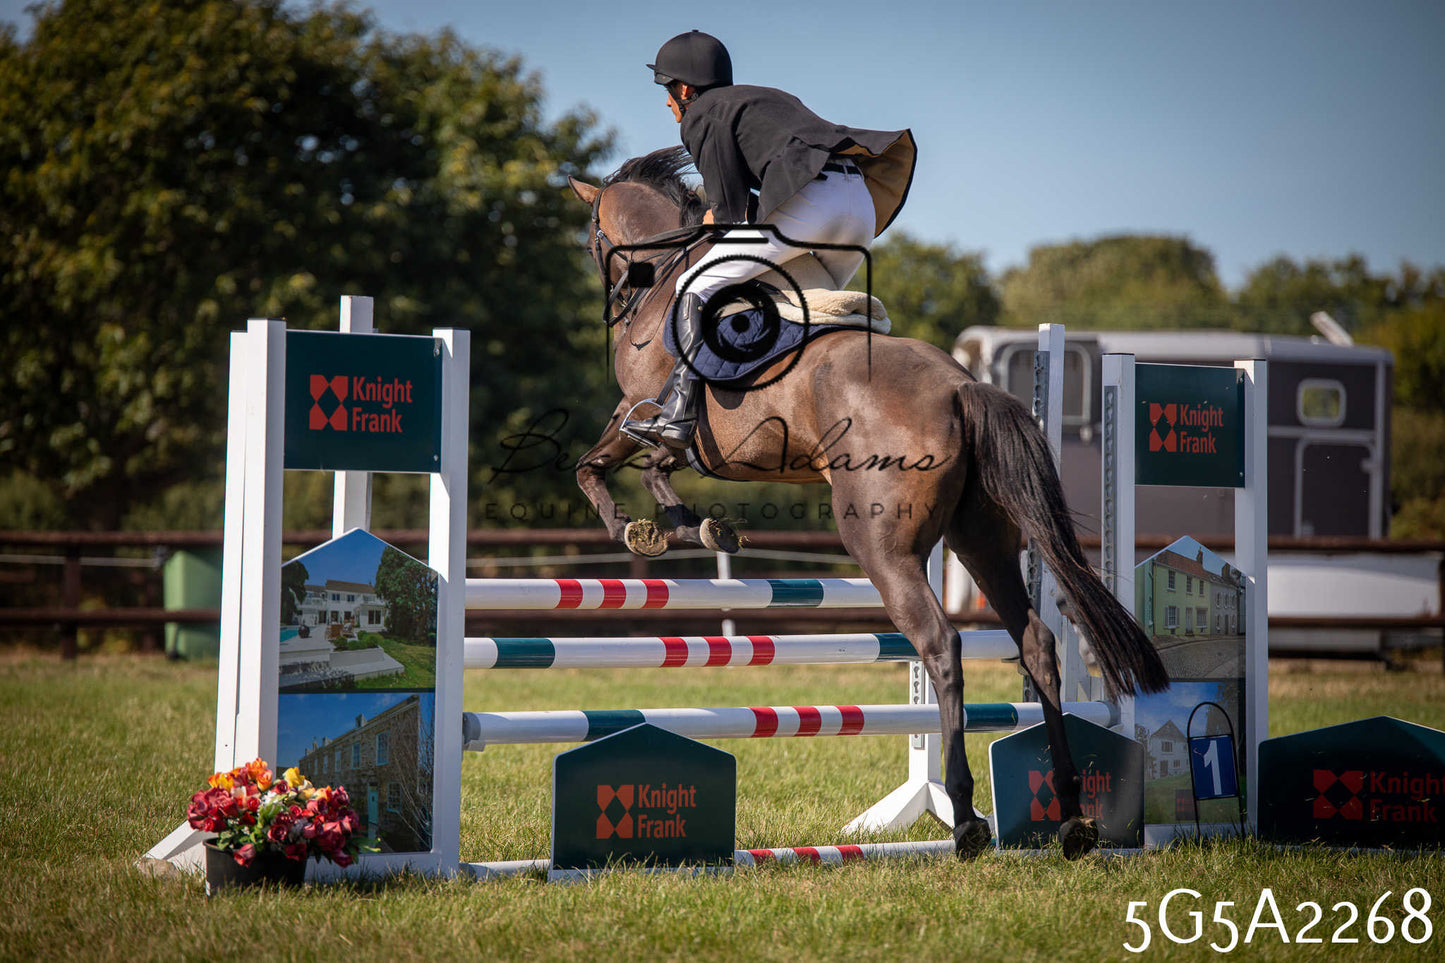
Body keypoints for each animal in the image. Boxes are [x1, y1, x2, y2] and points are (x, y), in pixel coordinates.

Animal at [566, 147, 1168, 859]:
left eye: (591, 238)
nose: (614, 302)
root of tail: (960, 386)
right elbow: (654, 467)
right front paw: (700, 528)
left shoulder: (640, 409)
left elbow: (600, 463)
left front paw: (636, 529)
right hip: (982, 539)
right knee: (1036, 642)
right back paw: (1072, 815)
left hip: (882, 548)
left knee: (941, 645)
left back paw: (965, 816)